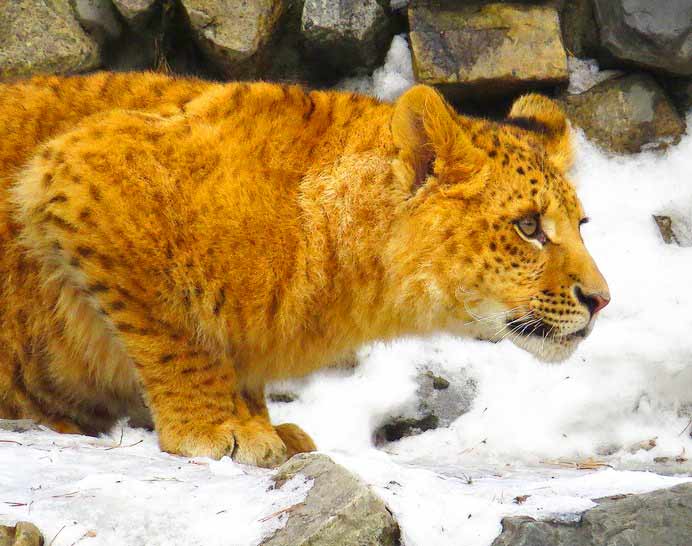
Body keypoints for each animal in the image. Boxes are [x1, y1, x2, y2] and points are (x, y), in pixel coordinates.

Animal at [0, 71, 608, 464]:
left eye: (581, 224)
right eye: (528, 226)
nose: (602, 300)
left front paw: (259, 424)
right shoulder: (79, 166)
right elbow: (176, 332)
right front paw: (211, 426)